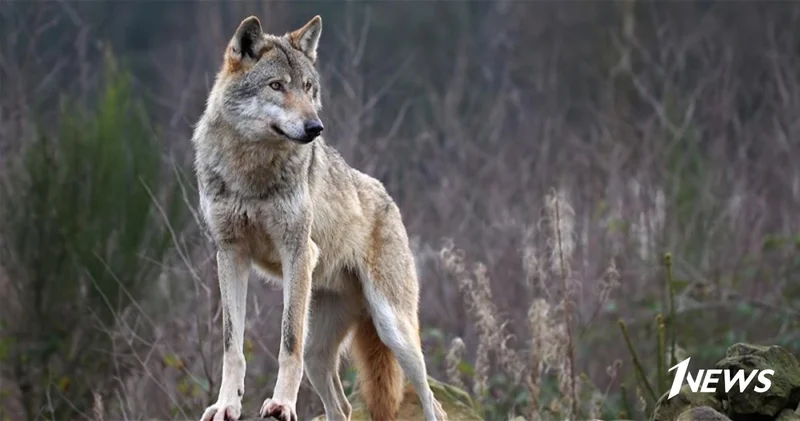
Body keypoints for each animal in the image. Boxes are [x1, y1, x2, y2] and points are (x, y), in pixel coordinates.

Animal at [191, 15, 447, 421]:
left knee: (431, 400)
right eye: (276, 86)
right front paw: (227, 405)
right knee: (341, 406)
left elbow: (287, 342)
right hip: (319, 355)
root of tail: (387, 197)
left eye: (308, 87)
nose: (316, 128)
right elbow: (232, 346)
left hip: (395, 330)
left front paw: (280, 404)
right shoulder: (230, 255)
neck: (251, 171)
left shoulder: (297, 252)